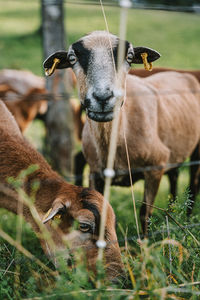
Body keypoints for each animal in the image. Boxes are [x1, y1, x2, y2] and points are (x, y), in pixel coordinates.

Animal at [43, 30, 200, 233]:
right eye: (72, 58)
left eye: (130, 57)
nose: (103, 97)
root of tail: (179, 74)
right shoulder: (95, 172)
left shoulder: (155, 167)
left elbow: (145, 214)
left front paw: (145, 241)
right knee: (175, 175)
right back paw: (172, 215)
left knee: (193, 183)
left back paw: (187, 221)